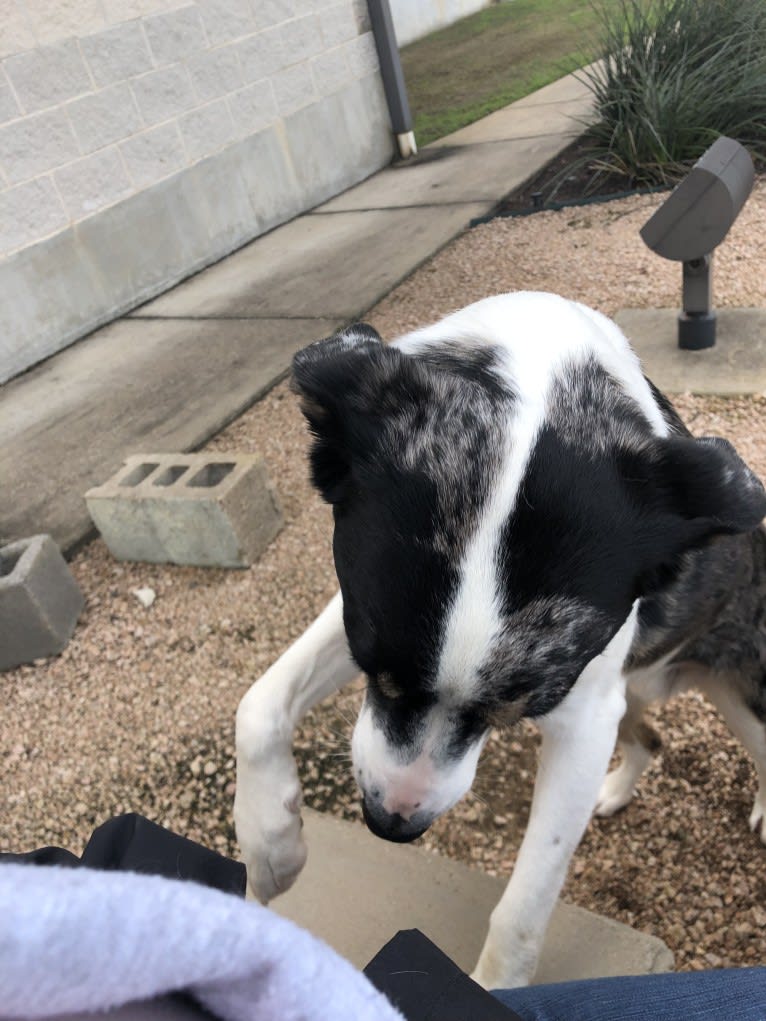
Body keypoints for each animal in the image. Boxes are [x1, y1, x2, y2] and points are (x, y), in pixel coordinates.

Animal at [235, 294, 766, 988]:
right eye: (374, 668)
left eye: (519, 706)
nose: (391, 825)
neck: (552, 365)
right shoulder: (353, 609)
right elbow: (259, 704)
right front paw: (270, 845)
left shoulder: (582, 715)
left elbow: (523, 907)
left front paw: (494, 986)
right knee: (649, 738)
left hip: (744, 698)